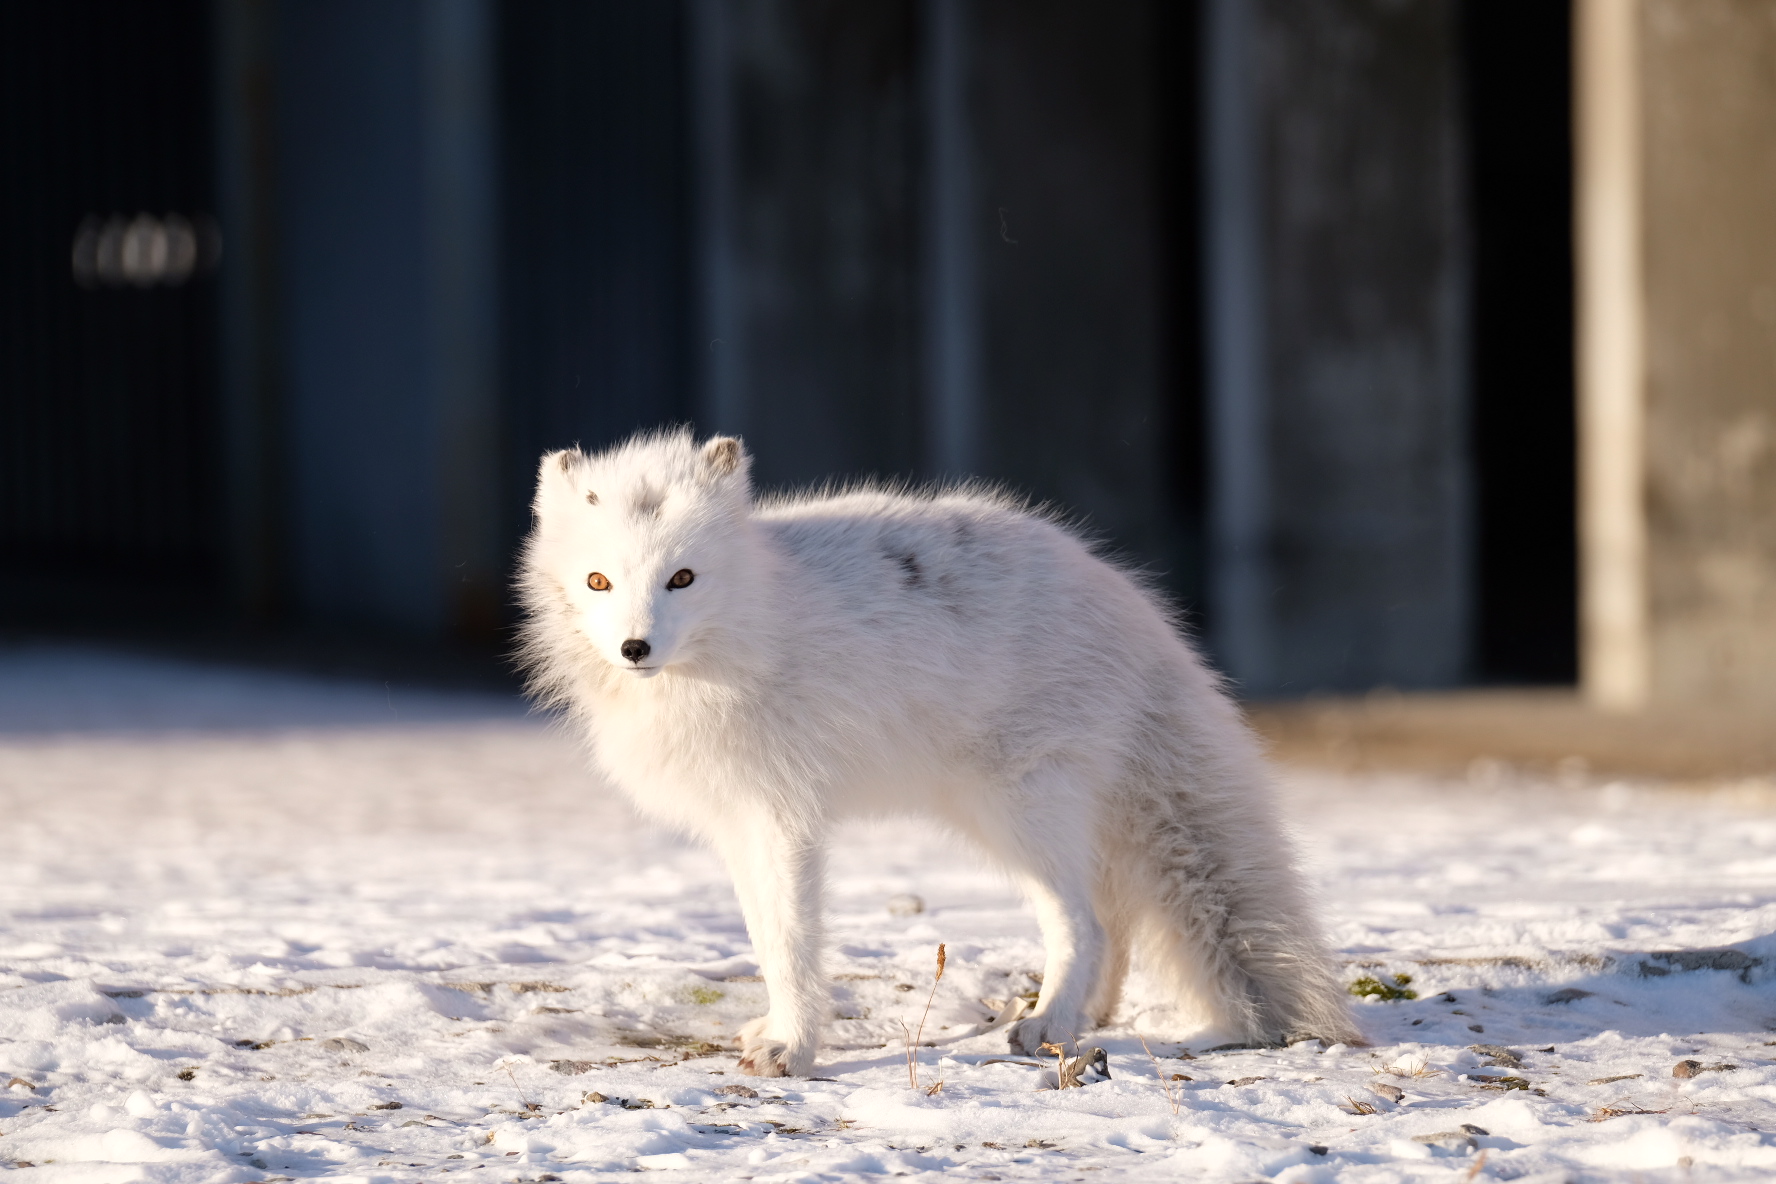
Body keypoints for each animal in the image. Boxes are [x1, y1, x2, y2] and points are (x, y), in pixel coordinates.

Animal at [518, 431, 1356, 1079]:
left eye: (682, 578)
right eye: (599, 581)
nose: (634, 648)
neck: (744, 639)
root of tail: (1136, 610)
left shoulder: (784, 818)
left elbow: (790, 942)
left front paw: (794, 1049)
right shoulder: (736, 823)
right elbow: (762, 937)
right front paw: (778, 1029)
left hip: (1017, 812)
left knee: (1084, 922)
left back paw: (1049, 1024)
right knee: (1113, 919)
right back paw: (1085, 1017)